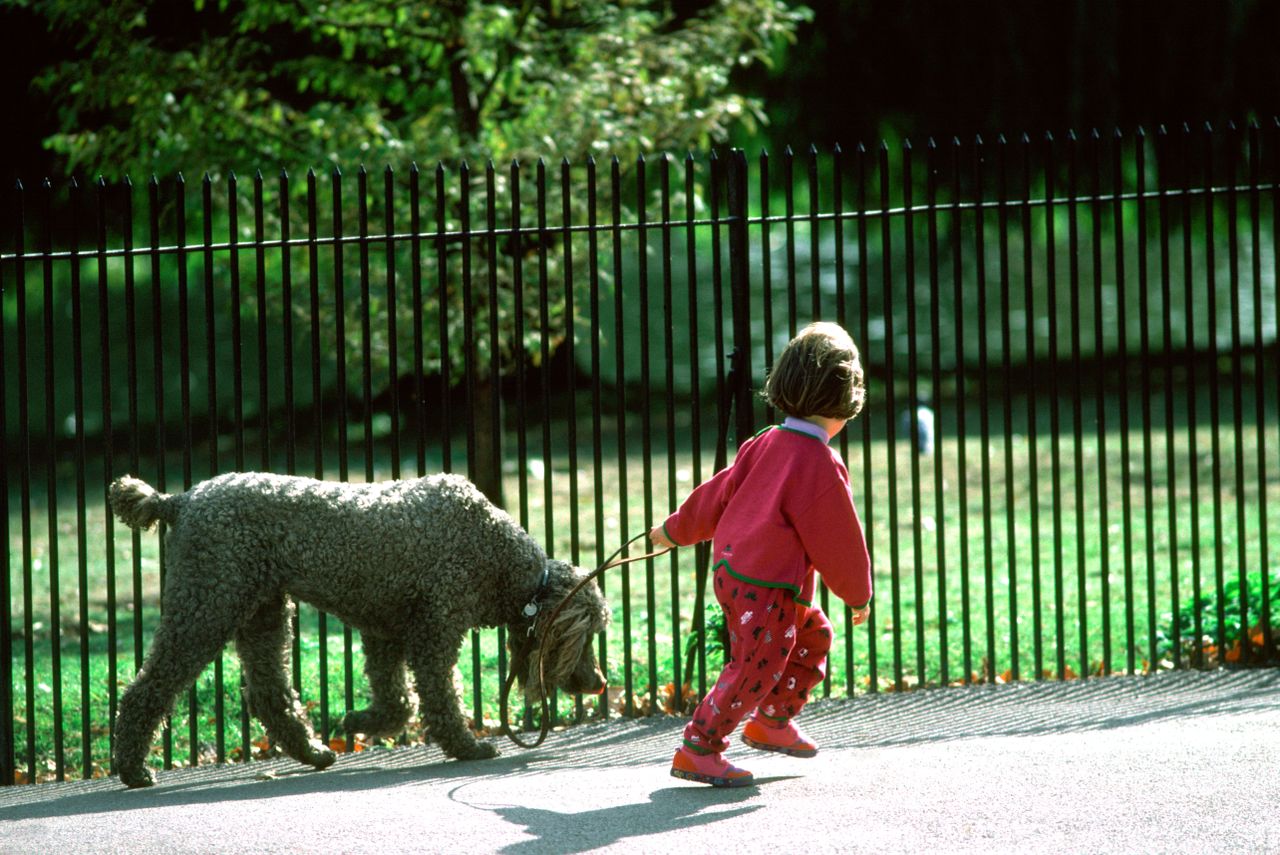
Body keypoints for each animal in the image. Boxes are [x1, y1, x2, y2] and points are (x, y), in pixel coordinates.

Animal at [110, 471, 609, 793]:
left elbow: (399, 702)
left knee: (269, 694)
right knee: (148, 689)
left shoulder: (385, 635)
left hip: (264, 613)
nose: (600, 684)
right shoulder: (436, 633)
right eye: (587, 638)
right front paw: (466, 747)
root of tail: (179, 499)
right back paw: (134, 769)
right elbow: (439, 699)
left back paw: (313, 751)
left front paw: (359, 722)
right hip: (208, 604)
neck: (495, 552)